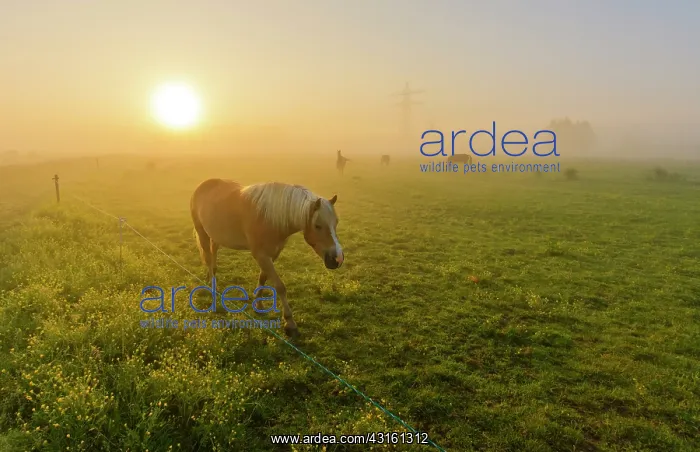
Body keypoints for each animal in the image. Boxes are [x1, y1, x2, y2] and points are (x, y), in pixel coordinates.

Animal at [190, 179, 344, 338]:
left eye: (336, 223)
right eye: (317, 225)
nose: (338, 259)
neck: (270, 218)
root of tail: (203, 184)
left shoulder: (272, 254)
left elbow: (263, 277)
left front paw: (258, 304)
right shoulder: (261, 255)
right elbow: (280, 287)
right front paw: (290, 323)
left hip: (215, 236)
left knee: (213, 255)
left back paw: (210, 277)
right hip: (201, 231)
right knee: (208, 258)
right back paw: (213, 287)